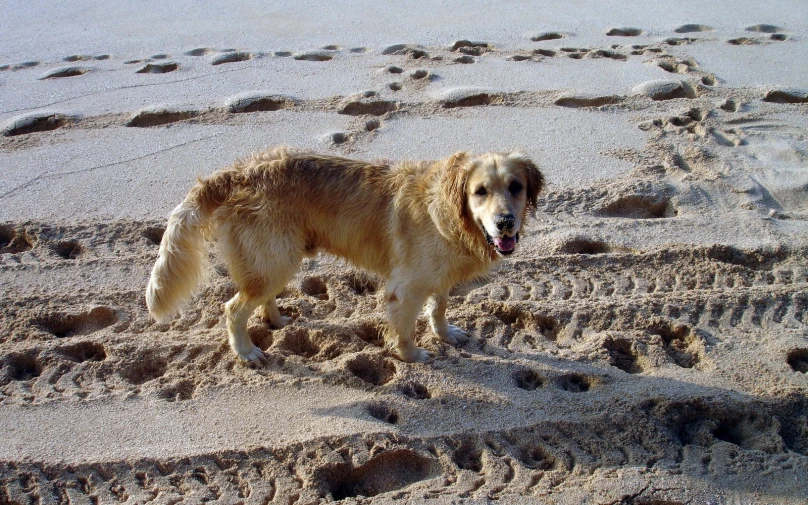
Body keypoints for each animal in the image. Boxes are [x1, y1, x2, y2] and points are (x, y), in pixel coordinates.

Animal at [145, 146, 544, 362]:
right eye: (480, 192)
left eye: (515, 187)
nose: (506, 223)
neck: (450, 213)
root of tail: (234, 173)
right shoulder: (406, 288)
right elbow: (405, 330)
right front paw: (412, 355)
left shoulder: (439, 275)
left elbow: (440, 308)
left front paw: (446, 334)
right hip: (275, 257)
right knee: (233, 309)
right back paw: (246, 352)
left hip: (276, 259)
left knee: (260, 298)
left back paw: (277, 321)